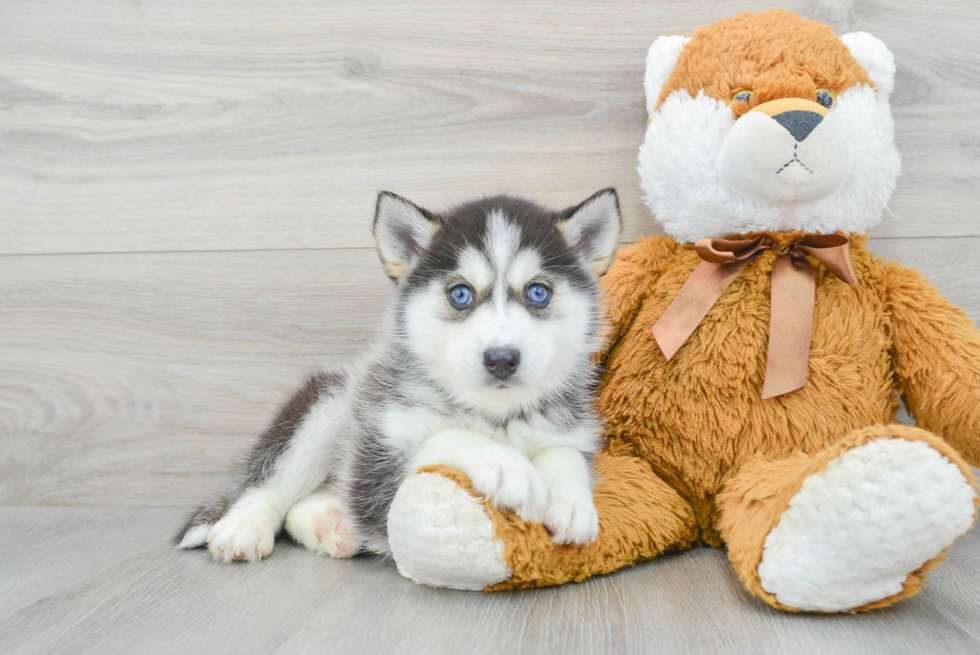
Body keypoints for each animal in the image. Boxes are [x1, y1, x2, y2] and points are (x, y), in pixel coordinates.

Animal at [178, 190, 620, 564]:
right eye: (460, 294)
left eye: (538, 292)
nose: (501, 359)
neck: (494, 414)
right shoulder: (374, 470)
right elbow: (447, 437)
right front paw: (505, 465)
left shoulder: (570, 429)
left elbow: (565, 453)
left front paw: (572, 501)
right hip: (331, 402)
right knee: (270, 483)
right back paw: (245, 526)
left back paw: (332, 525)